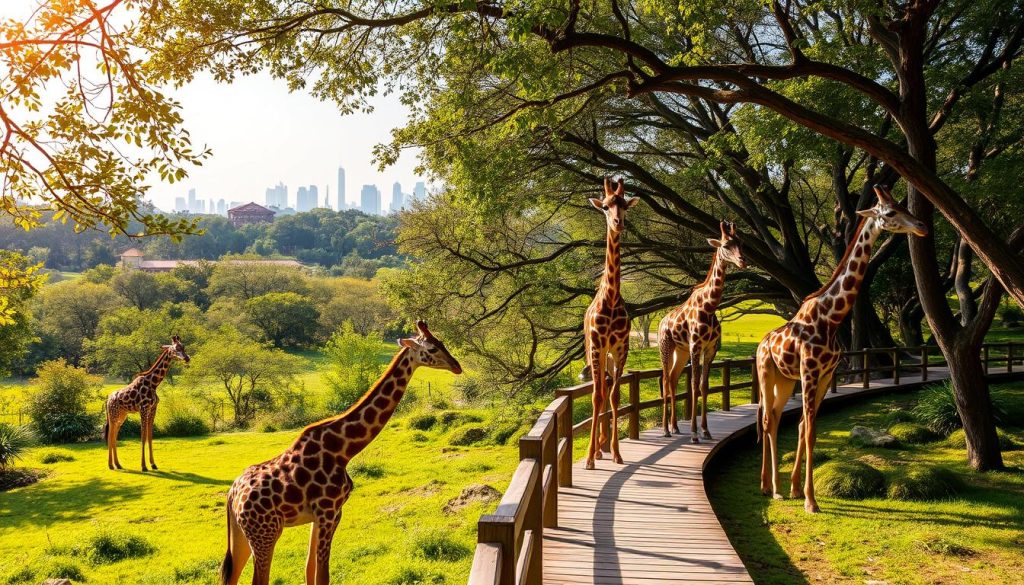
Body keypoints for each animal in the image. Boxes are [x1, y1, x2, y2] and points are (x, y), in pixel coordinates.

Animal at [103, 335, 190, 471]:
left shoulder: (153, 408)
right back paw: (111, 465)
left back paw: (118, 464)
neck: (153, 384)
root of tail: (108, 399)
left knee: (114, 436)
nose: (187, 358)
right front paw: (143, 466)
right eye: (176, 348)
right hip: (113, 415)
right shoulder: (143, 409)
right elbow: (143, 437)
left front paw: (153, 464)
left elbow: (149, 436)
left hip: (121, 416)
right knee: (110, 436)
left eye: (183, 346)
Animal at [219, 320, 461, 585]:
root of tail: (232, 495)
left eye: (442, 342)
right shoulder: (328, 510)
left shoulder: (327, 514)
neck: (343, 449)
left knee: (230, 577)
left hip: (241, 534)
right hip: (266, 531)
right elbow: (322, 573)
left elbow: (310, 569)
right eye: (432, 348)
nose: (457, 366)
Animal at [658, 221, 745, 442]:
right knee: (666, 379)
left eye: (741, 244)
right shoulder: (695, 346)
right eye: (726, 245)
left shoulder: (710, 348)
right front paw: (694, 433)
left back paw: (674, 427)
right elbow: (694, 385)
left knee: (673, 378)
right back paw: (665, 430)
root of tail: (661, 322)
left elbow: (703, 386)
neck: (709, 307)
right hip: (666, 347)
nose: (743, 261)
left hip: (680, 351)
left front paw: (705, 431)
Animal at [757, 185, 927, 512]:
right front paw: (810, 501)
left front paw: (798, 489)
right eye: (890, 212)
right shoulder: (810, 372)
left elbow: (804, 427)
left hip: (785, 380)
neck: (831, 319)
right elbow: (811, 431)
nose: (922, 226)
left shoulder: (825, 374)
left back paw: (773, 486)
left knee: (774, 418)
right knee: (768, 420)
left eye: (903, 206)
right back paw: (772, 489)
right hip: (766, 374)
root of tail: (760, 345)